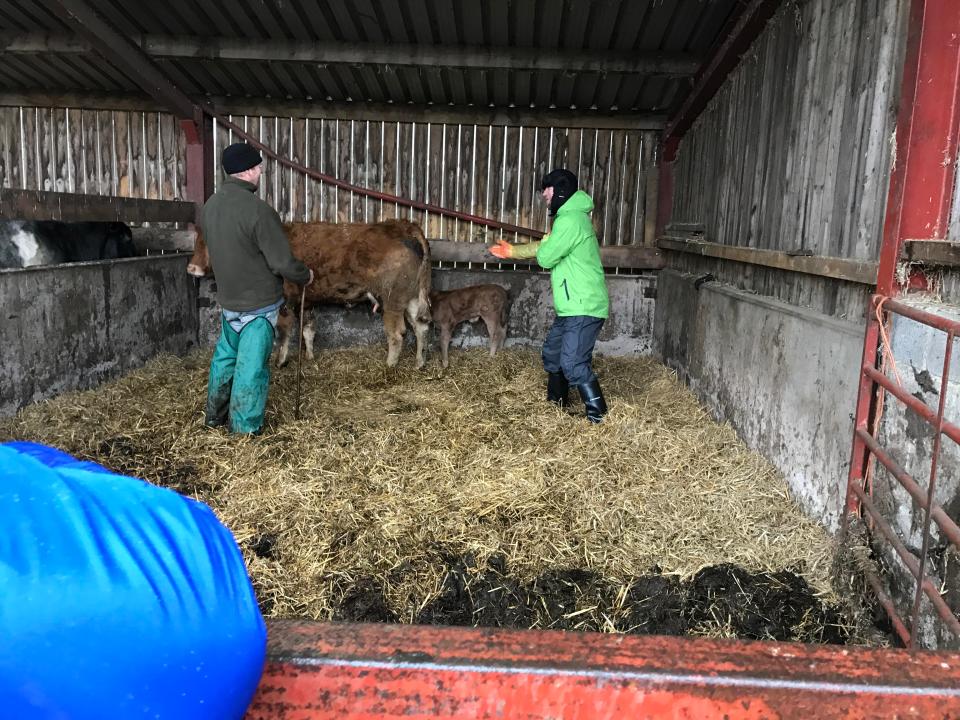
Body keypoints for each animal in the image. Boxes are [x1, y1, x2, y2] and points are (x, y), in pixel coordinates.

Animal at [186, 219, 430, 366]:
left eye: (207, 242)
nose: (191, 268)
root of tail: (402, 225)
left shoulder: (285, 301)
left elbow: (283, 333)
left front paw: (280, 361)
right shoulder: (308, 302)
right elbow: (308, 330)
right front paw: (310, 357)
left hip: (392, 299)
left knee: (397, 333)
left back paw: (390, 364)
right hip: (411, 297)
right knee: (420, 327)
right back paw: (419, 362)